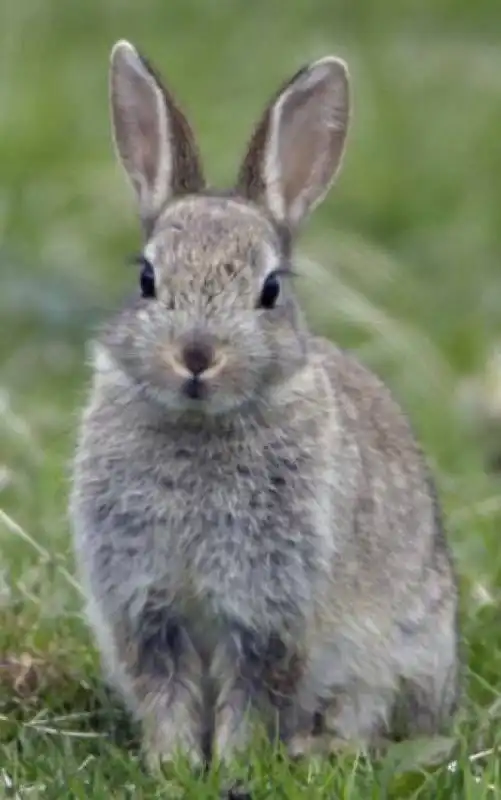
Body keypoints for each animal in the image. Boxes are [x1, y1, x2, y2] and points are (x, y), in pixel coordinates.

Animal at [68, 40, 458, 772]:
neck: (199, 426)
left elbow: (253, 695)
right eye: (147, 279)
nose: (196, 356)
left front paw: (230, 766)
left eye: (270, 290)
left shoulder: (268, 611)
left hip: (392, 657)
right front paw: (173, 767)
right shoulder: (145, 607)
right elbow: (166, 692)